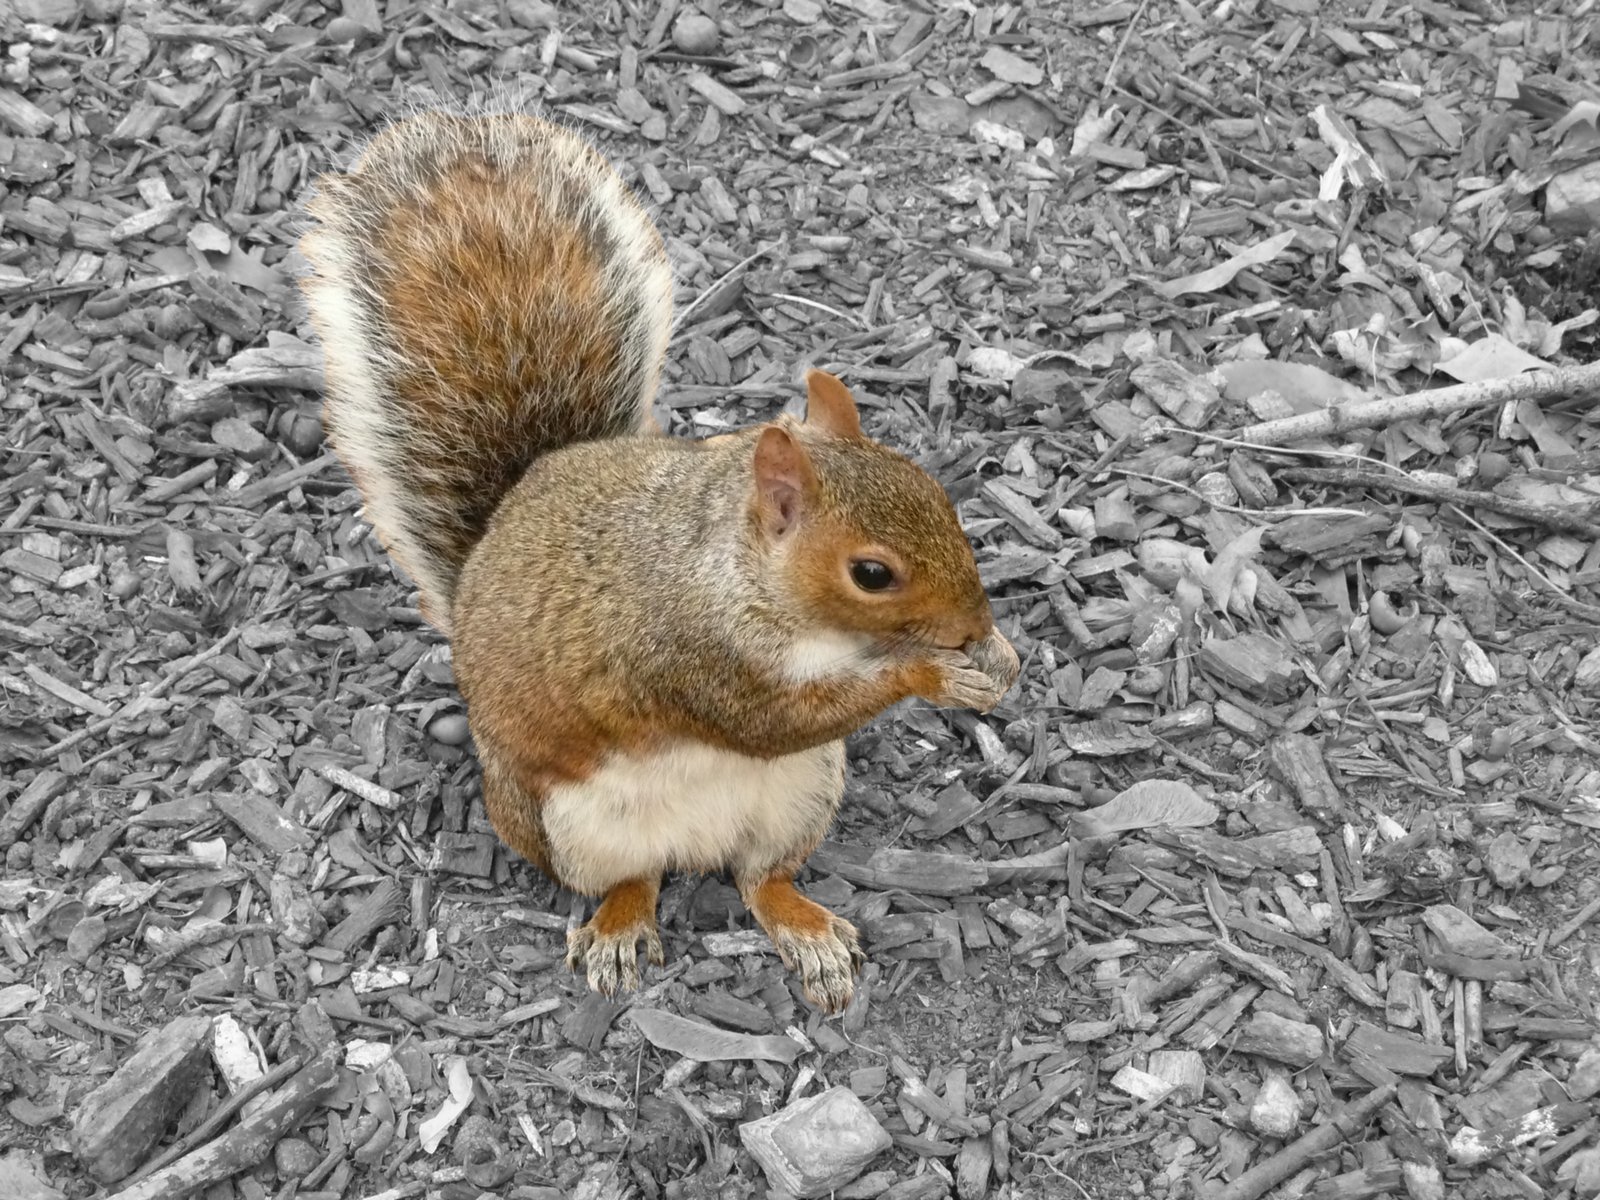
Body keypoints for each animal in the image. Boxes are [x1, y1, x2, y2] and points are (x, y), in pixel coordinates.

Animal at [296, 110, 1017, 1017]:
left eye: (942, 498)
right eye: (873, 574)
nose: (973, 623)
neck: (744, 578)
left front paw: (998, 657)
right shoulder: (687, 657)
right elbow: (772, 721)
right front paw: (934, 674)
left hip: (801, 797)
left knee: (760, 881)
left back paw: (805, 930)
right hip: (574, 828)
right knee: (631, 881)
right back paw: (619, 928)